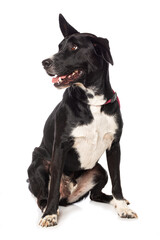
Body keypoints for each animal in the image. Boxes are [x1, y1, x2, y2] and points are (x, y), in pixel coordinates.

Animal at [27, 13, 138, 227]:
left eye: (74, 47)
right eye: (59, 46)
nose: (45, 62)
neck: (92, 100)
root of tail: (69, 194)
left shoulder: (115, 146)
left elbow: (117, 181)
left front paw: (122, 207)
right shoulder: (60, 146)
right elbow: (53, 186)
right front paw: (50, 214)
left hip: (99, 171)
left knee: (96, 195)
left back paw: (112, 201)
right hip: (38, 163)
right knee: (42, 196)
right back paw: (48, 208)